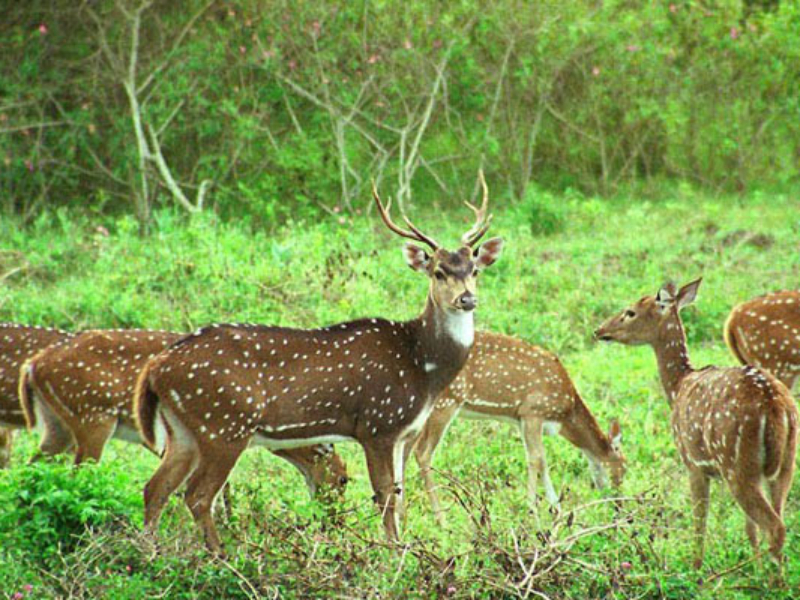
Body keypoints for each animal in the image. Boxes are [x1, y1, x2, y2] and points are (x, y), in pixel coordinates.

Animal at [19, 329, 348, 498]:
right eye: (344, 480)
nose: (332, 520)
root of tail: (33, 366)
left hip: (57, 425)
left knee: (33, 465)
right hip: (93, 417)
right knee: (78, 472)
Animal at [133, 174, 504, 552]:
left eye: (474, 270)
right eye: (439, 272)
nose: (467, 299)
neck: (422, 368)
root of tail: (156, 367)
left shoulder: (404, 432)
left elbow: (399, 497)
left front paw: (403, 548)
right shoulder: (377, 424)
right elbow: (385, 496)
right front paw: (392, 553)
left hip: (183, 429)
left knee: (155, 489)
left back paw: (150, 552)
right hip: (223, 424)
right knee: (197, 495)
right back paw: (219, 555)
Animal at [410, 330, 626, 525]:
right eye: (623, 468)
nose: (619, 506)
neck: (565, 414)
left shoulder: (522, 419)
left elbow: (542, 460)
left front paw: (556, 510)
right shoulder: (533, 410)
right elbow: (536, 459)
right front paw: (534, 513)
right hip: (447, 399)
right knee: (423, 451)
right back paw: (441, 520)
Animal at [595, 279, 798, 568]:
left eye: (630, 311)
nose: (600, 330)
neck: (678, 386)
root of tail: (775, 406)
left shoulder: (693, 462)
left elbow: (699, 522)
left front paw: (696, 567)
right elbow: (748, 529)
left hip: (737, 464)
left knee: (774, 526)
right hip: (784, 464)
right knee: (776, 520)